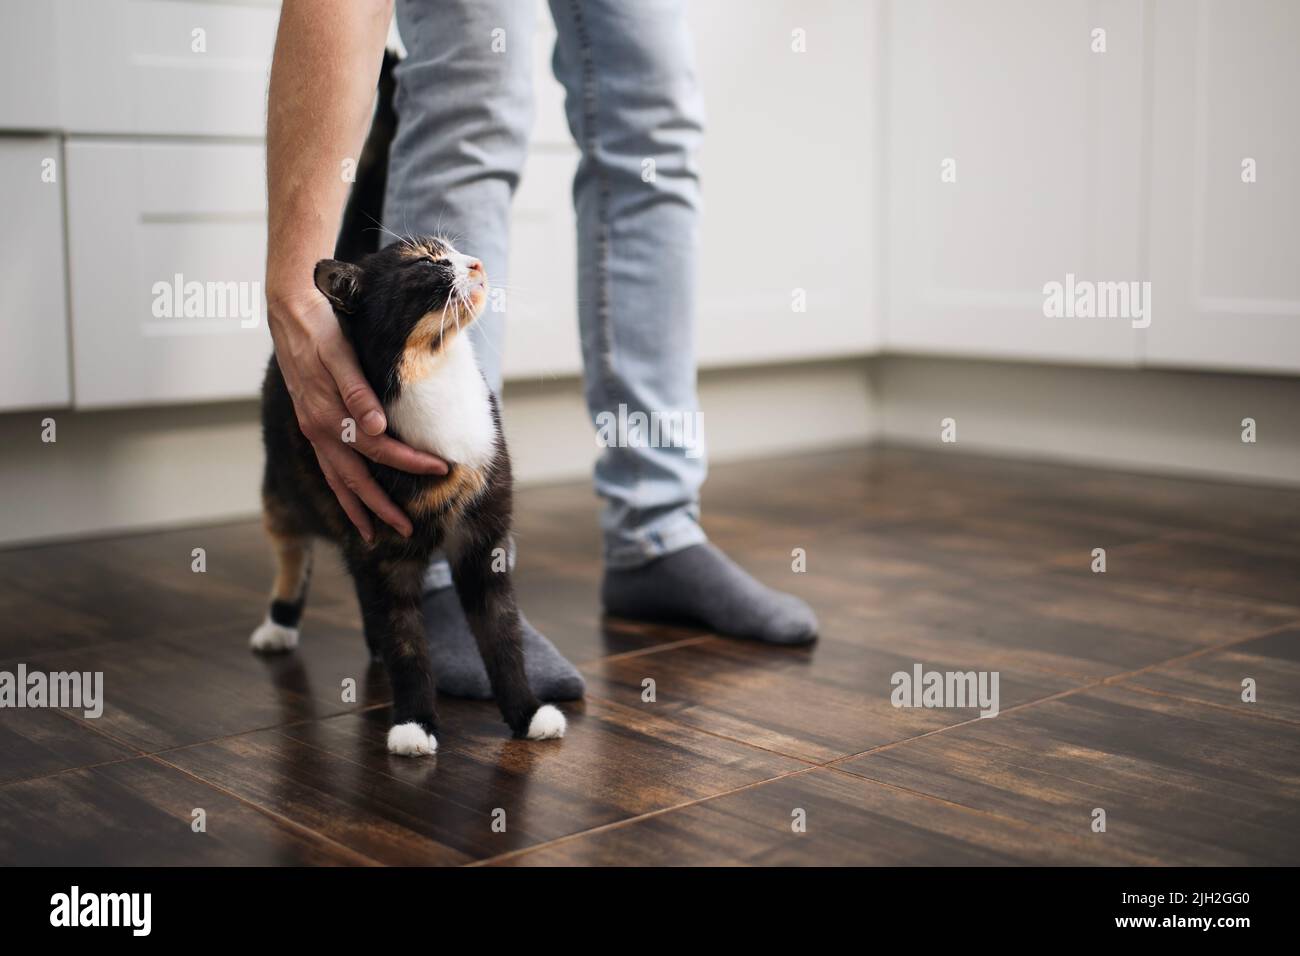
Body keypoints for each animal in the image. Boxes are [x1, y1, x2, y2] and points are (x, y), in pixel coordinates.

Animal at [248, 238, 564, 754]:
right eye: (425, 262)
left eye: (453, 249)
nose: (475, 263)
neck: (433, 371)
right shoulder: (382, 549)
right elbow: (407, 643)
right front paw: (415, 723)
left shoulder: (485, 540)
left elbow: (502, 635)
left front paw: (528, 712)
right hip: (283, 489)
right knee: (293, 550)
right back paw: (279, 624)